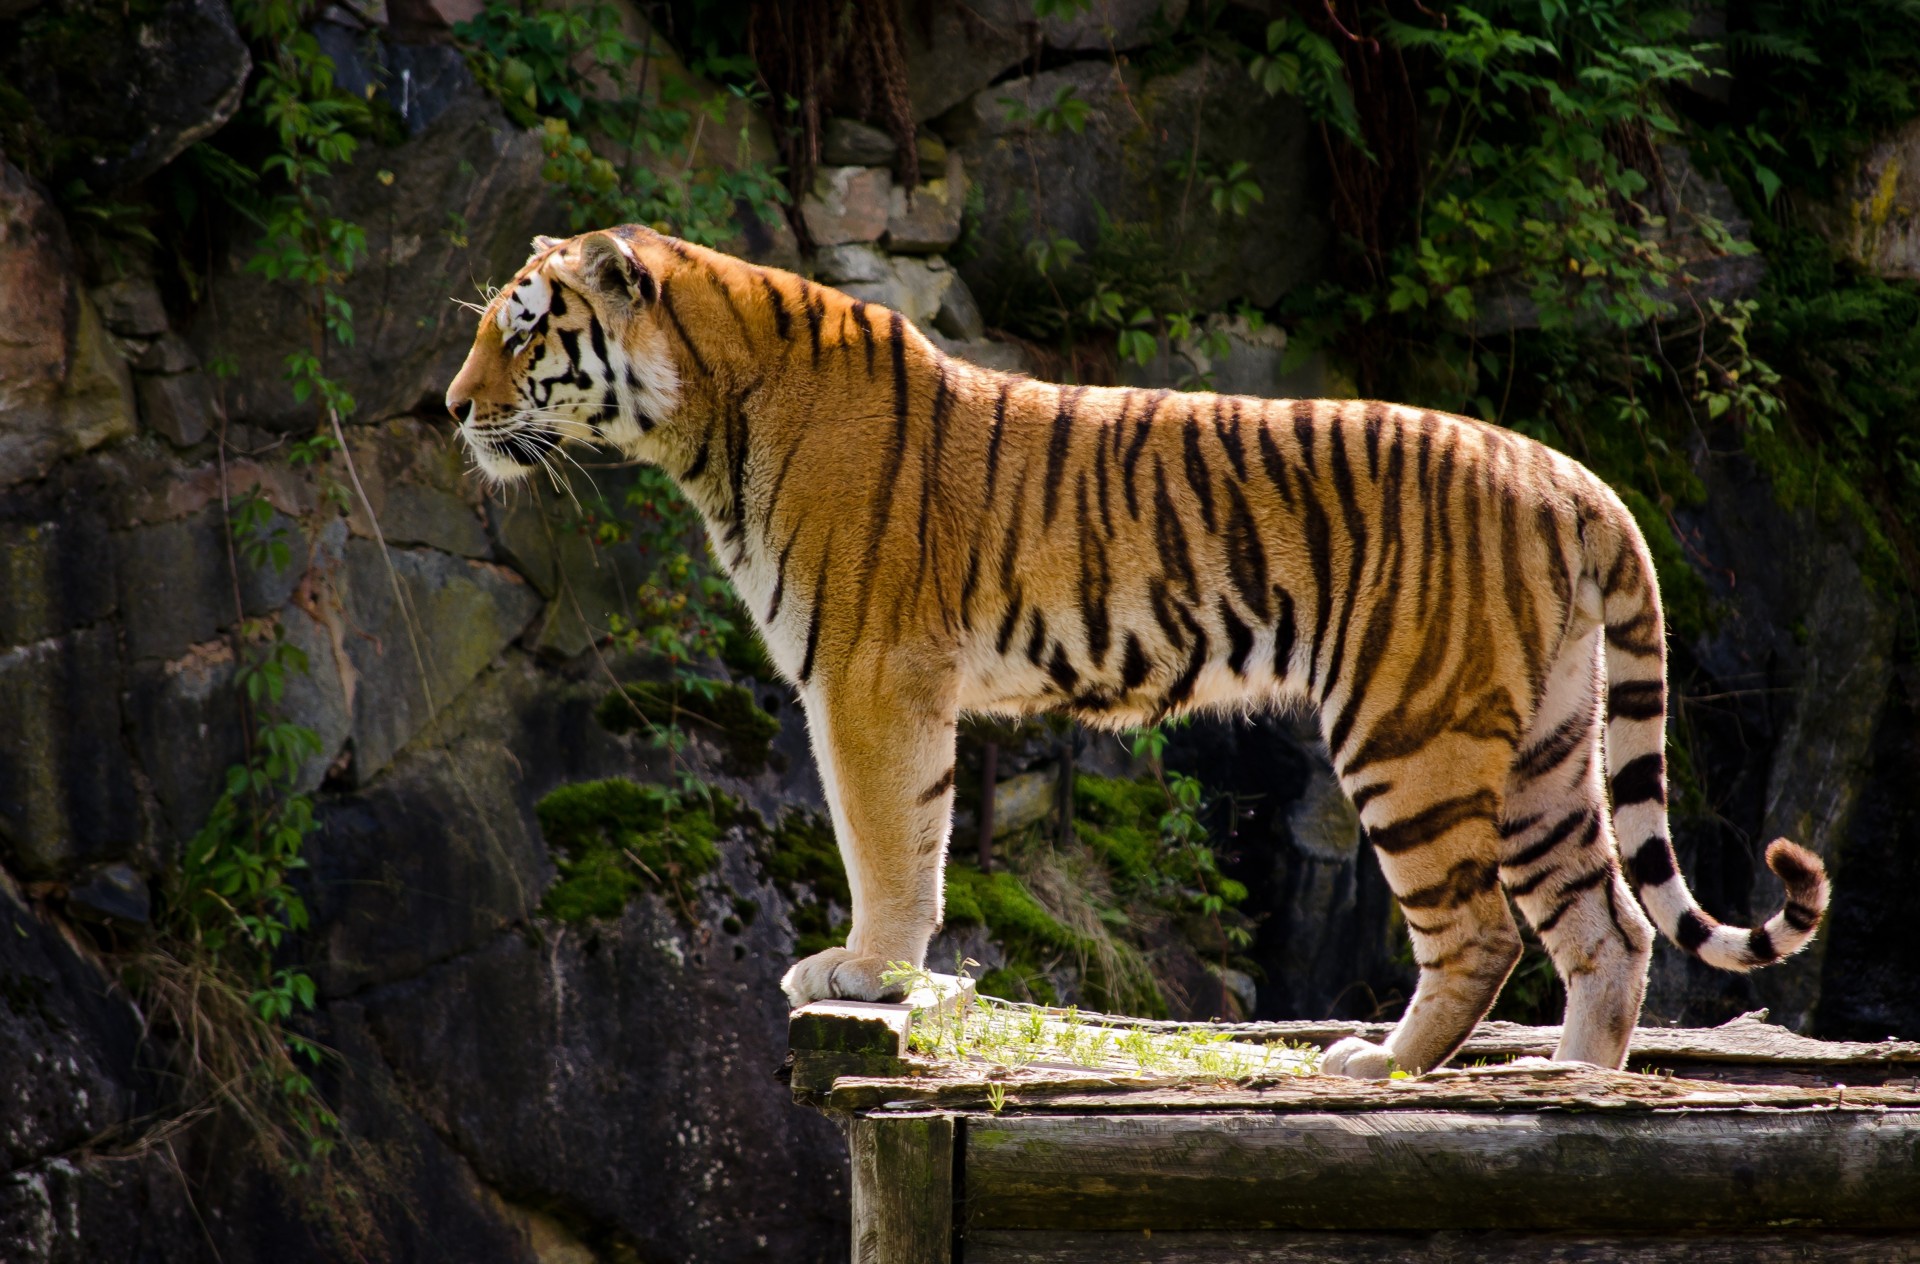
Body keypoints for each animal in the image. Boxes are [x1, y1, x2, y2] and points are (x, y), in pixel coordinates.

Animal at [445, 225, 1829, 1077]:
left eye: (522, 333)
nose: (452, 409)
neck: (706, 416)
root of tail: (1569, 474)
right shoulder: (889, 682)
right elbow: (918, 832)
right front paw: (886, 966)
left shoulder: (869, 676)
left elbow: (887, 836)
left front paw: (866, 970)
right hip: (1545, 742)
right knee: (1611, 928)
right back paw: (1576, 1081)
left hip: (1411, 731)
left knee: (1486, 930)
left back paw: (1381, 1064)